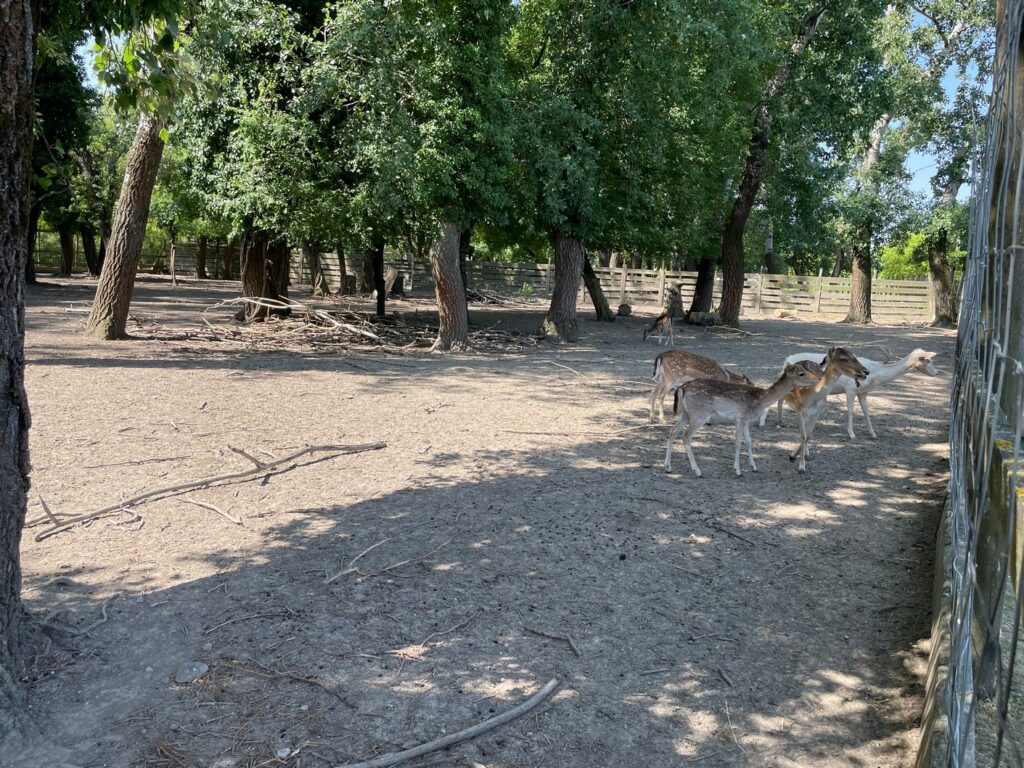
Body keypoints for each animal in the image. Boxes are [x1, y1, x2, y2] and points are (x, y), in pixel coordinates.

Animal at [664, 362, 823, 477]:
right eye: (801, 373)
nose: (818, 378)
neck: (760, 400)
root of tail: (681, 388)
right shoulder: (740, 417)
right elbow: (737, 442)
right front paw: (738, 470)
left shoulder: (746, 421)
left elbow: (749, 441)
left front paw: (754, 467)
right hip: (699, 414)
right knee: (686, 436)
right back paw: (697, 470)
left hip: (686, 414)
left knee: (672, 431)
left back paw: (668, 467)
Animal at [760, 348, 939, 439]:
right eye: (928, 360)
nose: (936, 373)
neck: (875, 374)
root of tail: (788, 359)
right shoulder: (850, 389)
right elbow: (851, 411)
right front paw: (851, 434)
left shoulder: (863, 393)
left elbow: (866, 411)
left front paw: (873, 434)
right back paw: (762, 423)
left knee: (780, 399)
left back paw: (781, 422)